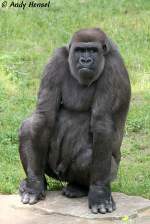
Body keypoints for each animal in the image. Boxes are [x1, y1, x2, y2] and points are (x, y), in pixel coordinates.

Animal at [18, 28, 131, 214]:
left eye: (92, 50)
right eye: (79, 50)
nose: (85, 60)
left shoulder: (113, 68)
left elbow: (102, 125)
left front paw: (99, 192)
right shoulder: (56, 60)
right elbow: (43, 116)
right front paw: (34, 185)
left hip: (109, 173)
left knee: (87, 157)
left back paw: (80, 188)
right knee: (29, 127)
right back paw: (36, 182)